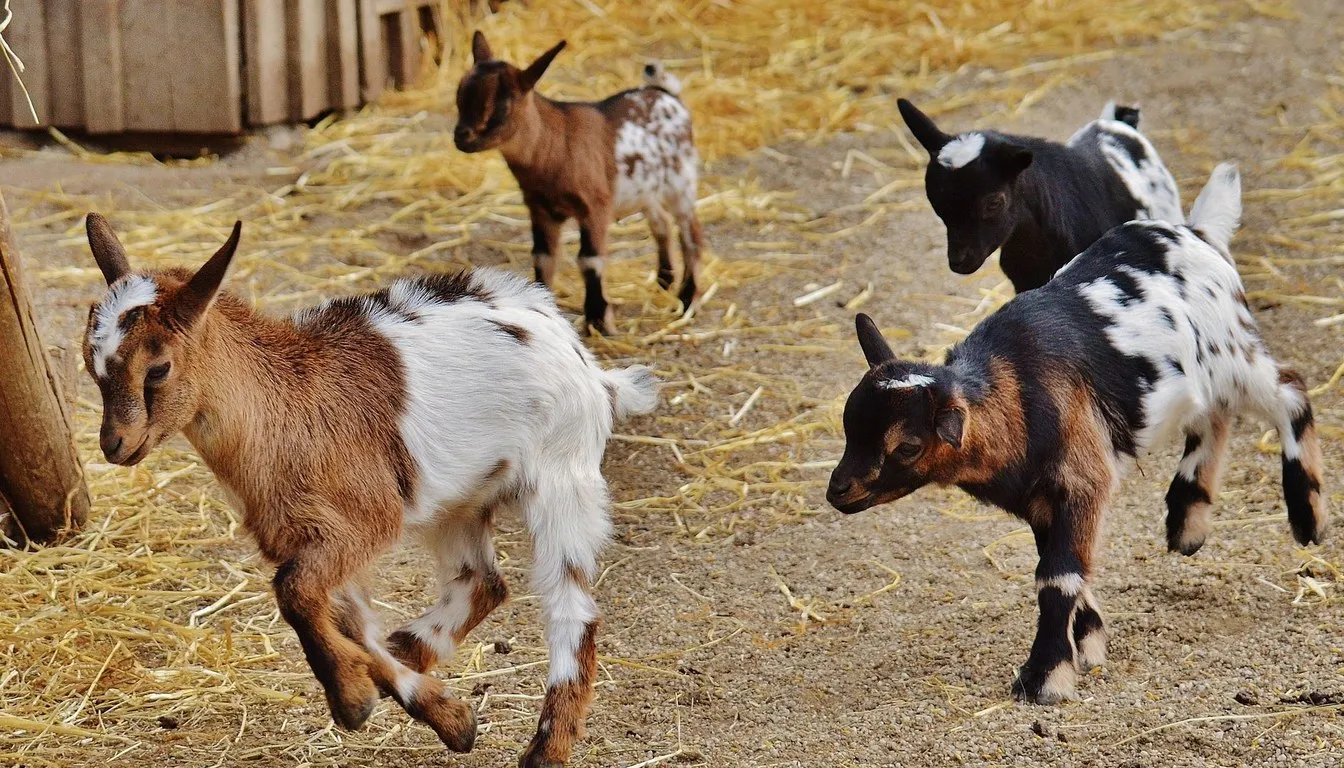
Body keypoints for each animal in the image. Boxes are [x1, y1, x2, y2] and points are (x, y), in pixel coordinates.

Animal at [81, 214, 659, 767]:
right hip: (459, 500)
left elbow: (295, 594)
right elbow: (347, 619)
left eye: (158, 367)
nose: (115, 444)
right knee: (482, 582)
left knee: (570, 607)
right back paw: (412, 651)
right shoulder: (308, 537)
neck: (284, 404)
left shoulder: (362, 522)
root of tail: (591, 367)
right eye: (91, 365)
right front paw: (444, 715)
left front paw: (353, 700)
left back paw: (546, 750)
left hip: (563, 478)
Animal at [454, 31, 704, 335]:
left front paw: (599, 321)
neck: (556, 145)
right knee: (662, 224)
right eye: (459, 95)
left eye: (502, 106)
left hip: (681, 181)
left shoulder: (594, 207)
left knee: (690, 234)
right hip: (646, 190)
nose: (461, 137)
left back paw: (688, 299)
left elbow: (590, 260)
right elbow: (543, 257)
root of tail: (666, 94)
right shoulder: (540, 209)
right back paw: (664, 282)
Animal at [827, 165, 1325, 704]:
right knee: (1215, 417)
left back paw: (1307, 518)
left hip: (1234, 355)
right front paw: (1087, 646)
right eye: (848, 423)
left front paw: (1044, 678)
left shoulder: (1082, 478)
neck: (1017, 390)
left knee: (1289, 391)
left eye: (908, 445)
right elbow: (1066, 568)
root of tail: (1198, 231)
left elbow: (1058, 577)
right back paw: (1187, 522)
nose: (838, 491)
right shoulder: (1041, 500)